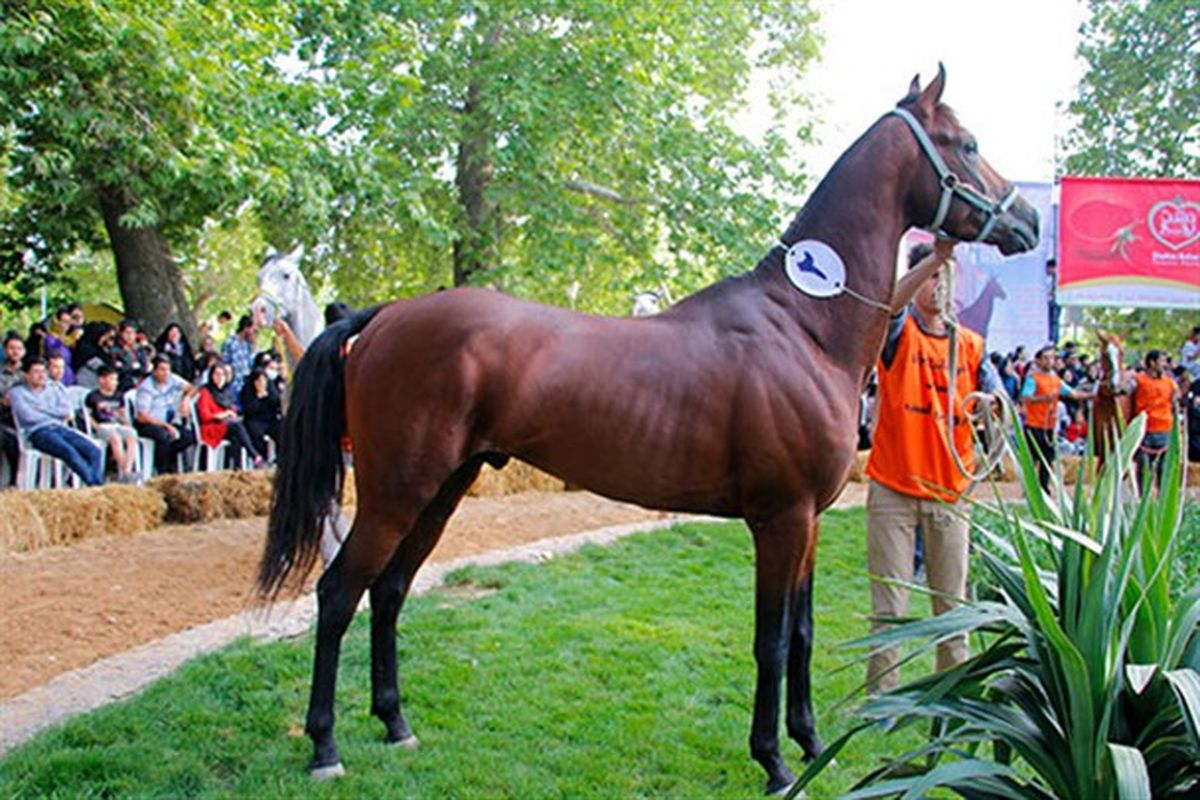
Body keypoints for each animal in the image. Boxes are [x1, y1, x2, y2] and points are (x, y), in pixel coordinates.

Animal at [258, 67, 1036, 796]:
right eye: (967, 144)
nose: (1026, 218)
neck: (803, 322)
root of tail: (382, 317)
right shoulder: (779, 519)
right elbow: (771, 641)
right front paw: (775, 762)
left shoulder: (811, 520)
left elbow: (804, 634)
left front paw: (815, 746)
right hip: (396, 492)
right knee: (339, 593)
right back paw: (325, 748)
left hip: (442, 487)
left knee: (389, 591)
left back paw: (396, 724)